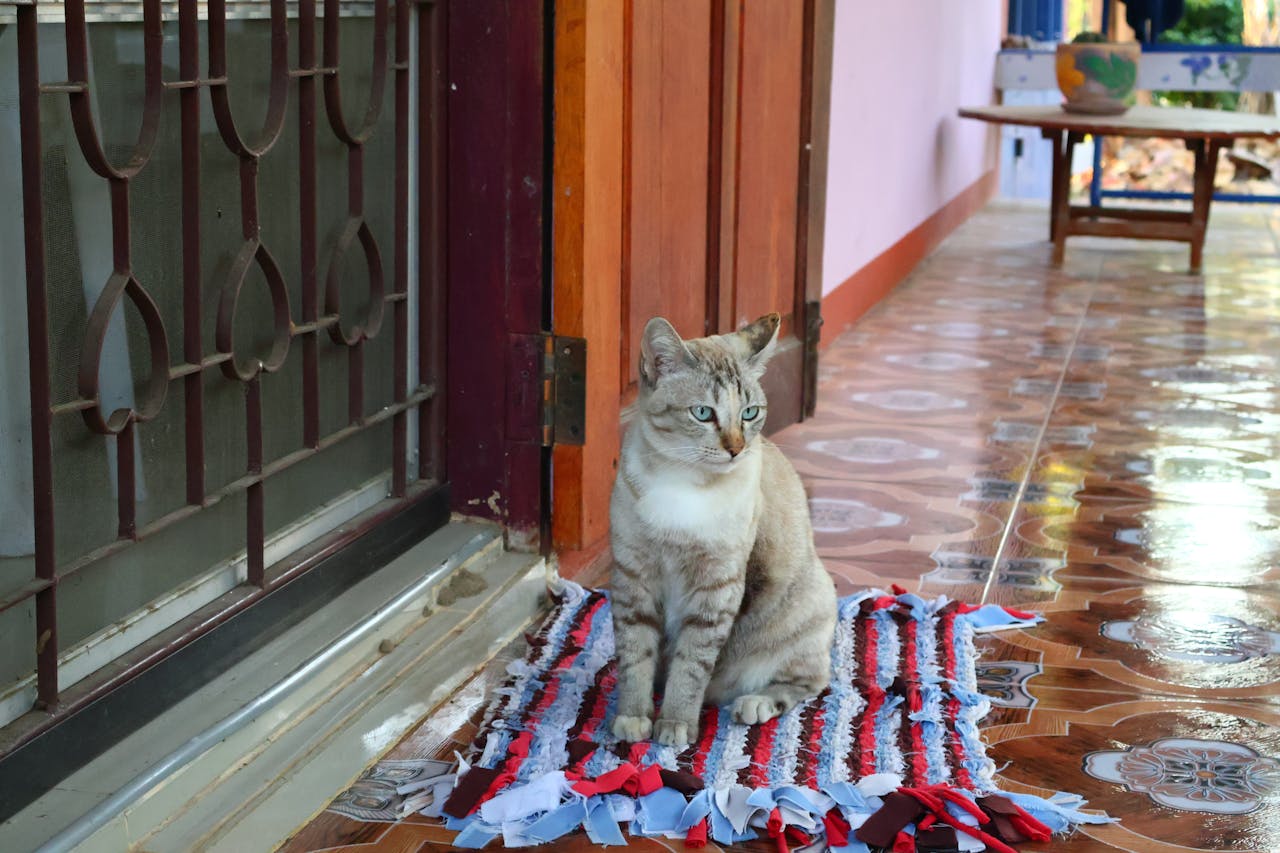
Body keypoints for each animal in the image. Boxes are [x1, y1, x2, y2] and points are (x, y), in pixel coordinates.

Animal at [609, 312, 839, 742]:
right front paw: (633, 717)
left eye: (749, 413)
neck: (683, 481)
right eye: (703, 413)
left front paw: (675, 725)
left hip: (809, 606)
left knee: (812, 680)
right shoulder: (633, 577)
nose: (735, 449)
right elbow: (635, 656)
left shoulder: (715, 589)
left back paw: (754, 703)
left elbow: (690, 666)